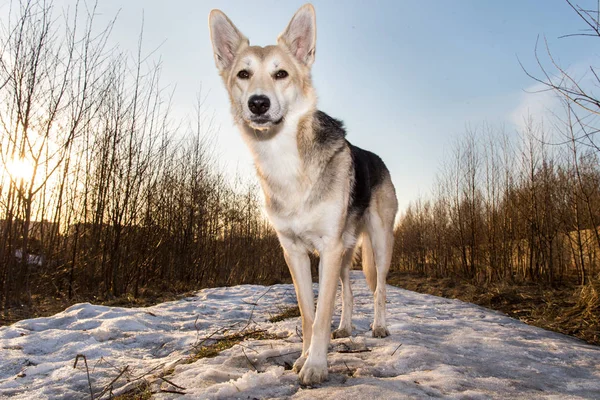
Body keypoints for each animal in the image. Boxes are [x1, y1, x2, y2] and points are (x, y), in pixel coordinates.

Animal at [209, 3, 396, 384]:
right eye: (243, 74)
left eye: (281, 74)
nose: (258, 103)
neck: (283, 156)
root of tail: (377, 158)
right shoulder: (295, 252)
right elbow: (310, 315)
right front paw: (304, 356)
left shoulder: (328, 247)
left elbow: (322, 314)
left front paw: (316, 366)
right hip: (344, 253)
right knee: (348, 291)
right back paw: (346, 327)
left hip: (379, 244)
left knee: (380, 289)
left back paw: (379, 327)